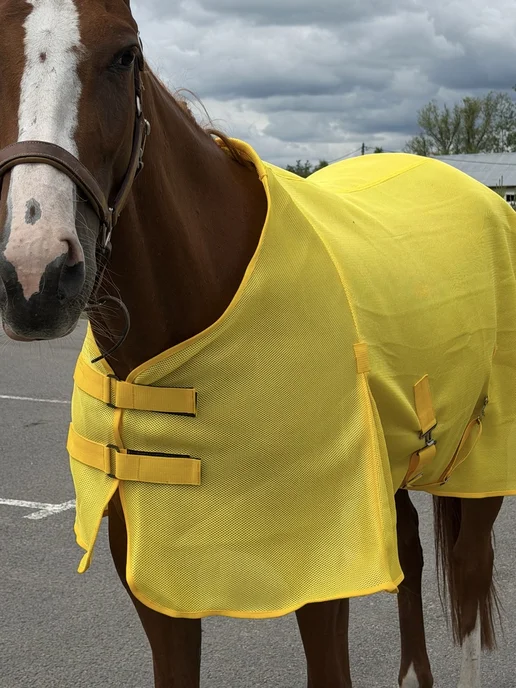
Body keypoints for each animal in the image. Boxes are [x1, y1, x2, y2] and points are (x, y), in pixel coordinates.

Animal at [0, 1, 511, 686]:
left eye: (125, 54)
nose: (37, 275)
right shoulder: (154, 584)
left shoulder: (322, 577)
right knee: (409, 554)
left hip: (479, 471)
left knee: (471, 579)